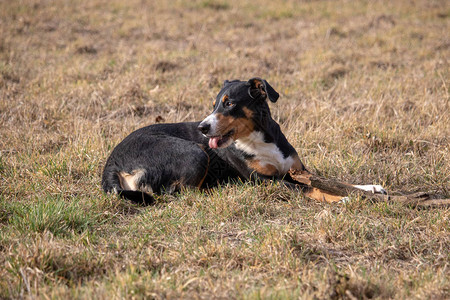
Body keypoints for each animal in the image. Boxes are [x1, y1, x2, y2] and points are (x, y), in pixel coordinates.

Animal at [101, 77, 384, 204]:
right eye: (214, 105)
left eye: (229, 104)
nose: (203, 128)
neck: (260, 138)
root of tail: (112, 161)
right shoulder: (266, 180)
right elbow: (312, 189)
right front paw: (346, 200)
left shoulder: (298, 170)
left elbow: (335, 181)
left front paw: (369, 188)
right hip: (194, 152)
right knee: (179, 193)